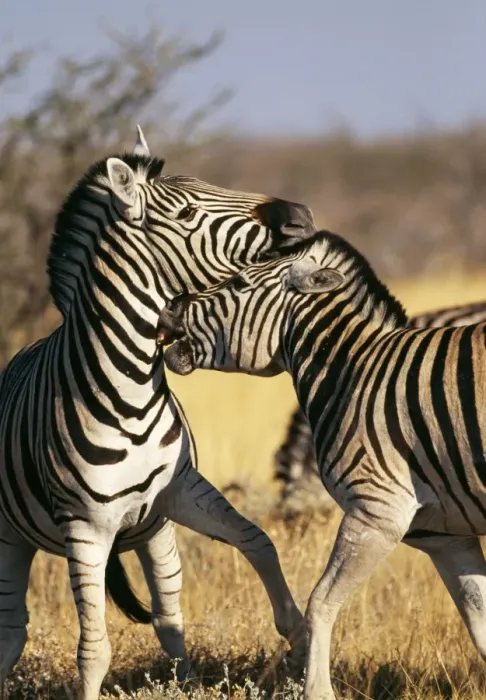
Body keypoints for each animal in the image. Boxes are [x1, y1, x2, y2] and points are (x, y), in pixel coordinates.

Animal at [0, 128, 315, 699]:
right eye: (188, 212)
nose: (299, 214)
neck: (130, 399)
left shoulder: (180, 489)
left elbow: (259, 542)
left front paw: (299, 636)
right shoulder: (86, 527)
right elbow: (93, 651)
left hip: (152, 531)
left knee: (170, 620)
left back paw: (183, 681)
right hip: (9, 535)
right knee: (12, 632)